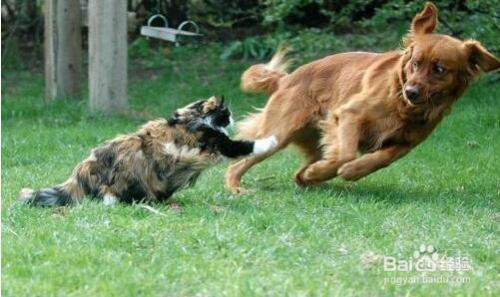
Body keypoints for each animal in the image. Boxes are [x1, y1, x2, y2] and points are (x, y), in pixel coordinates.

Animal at [225, 2, 498, 193]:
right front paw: (333, 170)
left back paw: (311, 177)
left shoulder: (405, 143)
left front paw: (351, 172)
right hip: (278, 134)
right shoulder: (349, 115)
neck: (400, 103)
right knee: (236, 164)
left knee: (299, 171)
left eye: (439, 69)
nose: (411, 91)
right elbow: (346, 153)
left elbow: (380, 159)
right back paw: (238, 188)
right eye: (415, 63)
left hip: (312, 141)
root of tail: (286, 79)